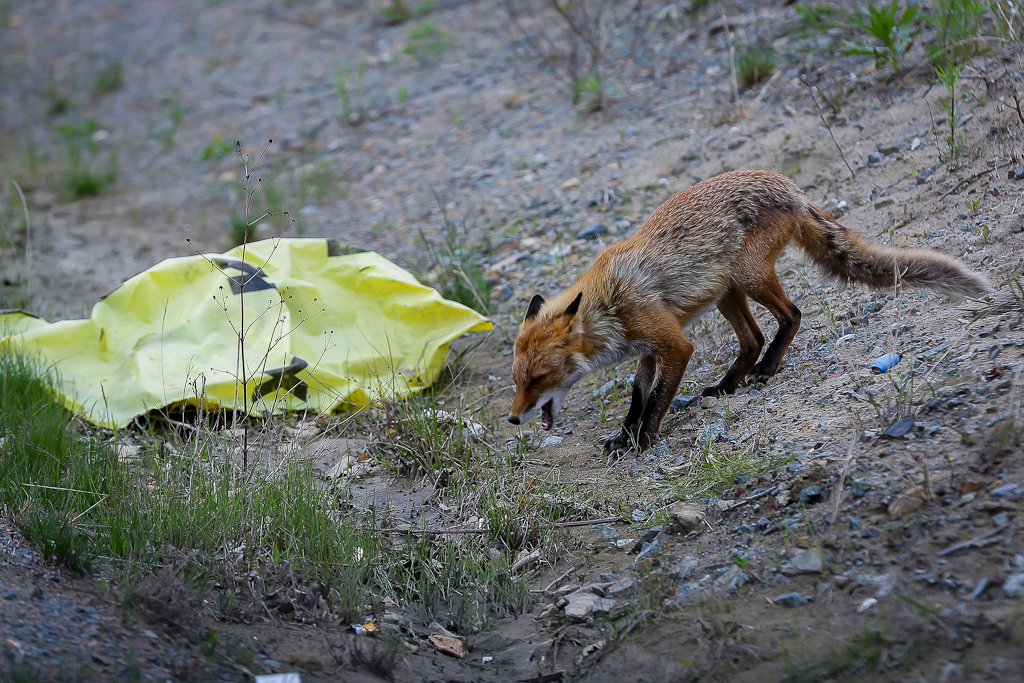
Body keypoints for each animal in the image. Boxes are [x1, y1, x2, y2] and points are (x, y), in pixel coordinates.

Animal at [507, 167, 987, 456]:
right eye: (517, 381)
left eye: (540, 379)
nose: (513, 419)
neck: (609, 301)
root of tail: (789, 185)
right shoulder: (647, 349)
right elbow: (637, 395)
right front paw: (624, 437)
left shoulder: (674, 344)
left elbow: (657, 399)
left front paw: (643, 441)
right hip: (726, 292)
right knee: (752, 338)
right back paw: (727, 385)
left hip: (749, 276)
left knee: (792, 315)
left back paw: (768, 368)